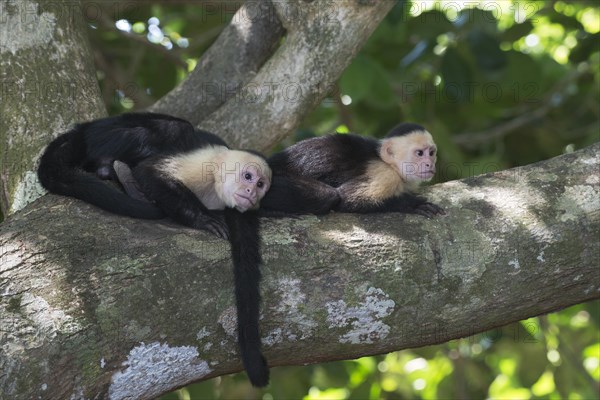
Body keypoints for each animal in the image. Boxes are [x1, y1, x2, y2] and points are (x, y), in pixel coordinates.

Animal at [36, 112, 270, 388]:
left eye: (261, 184)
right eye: (248, 177)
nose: (252, 192)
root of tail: (82, 129)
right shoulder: (203, 165)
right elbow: (149, 172)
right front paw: (201, 218)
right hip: (102, 136)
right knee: (174, 129)